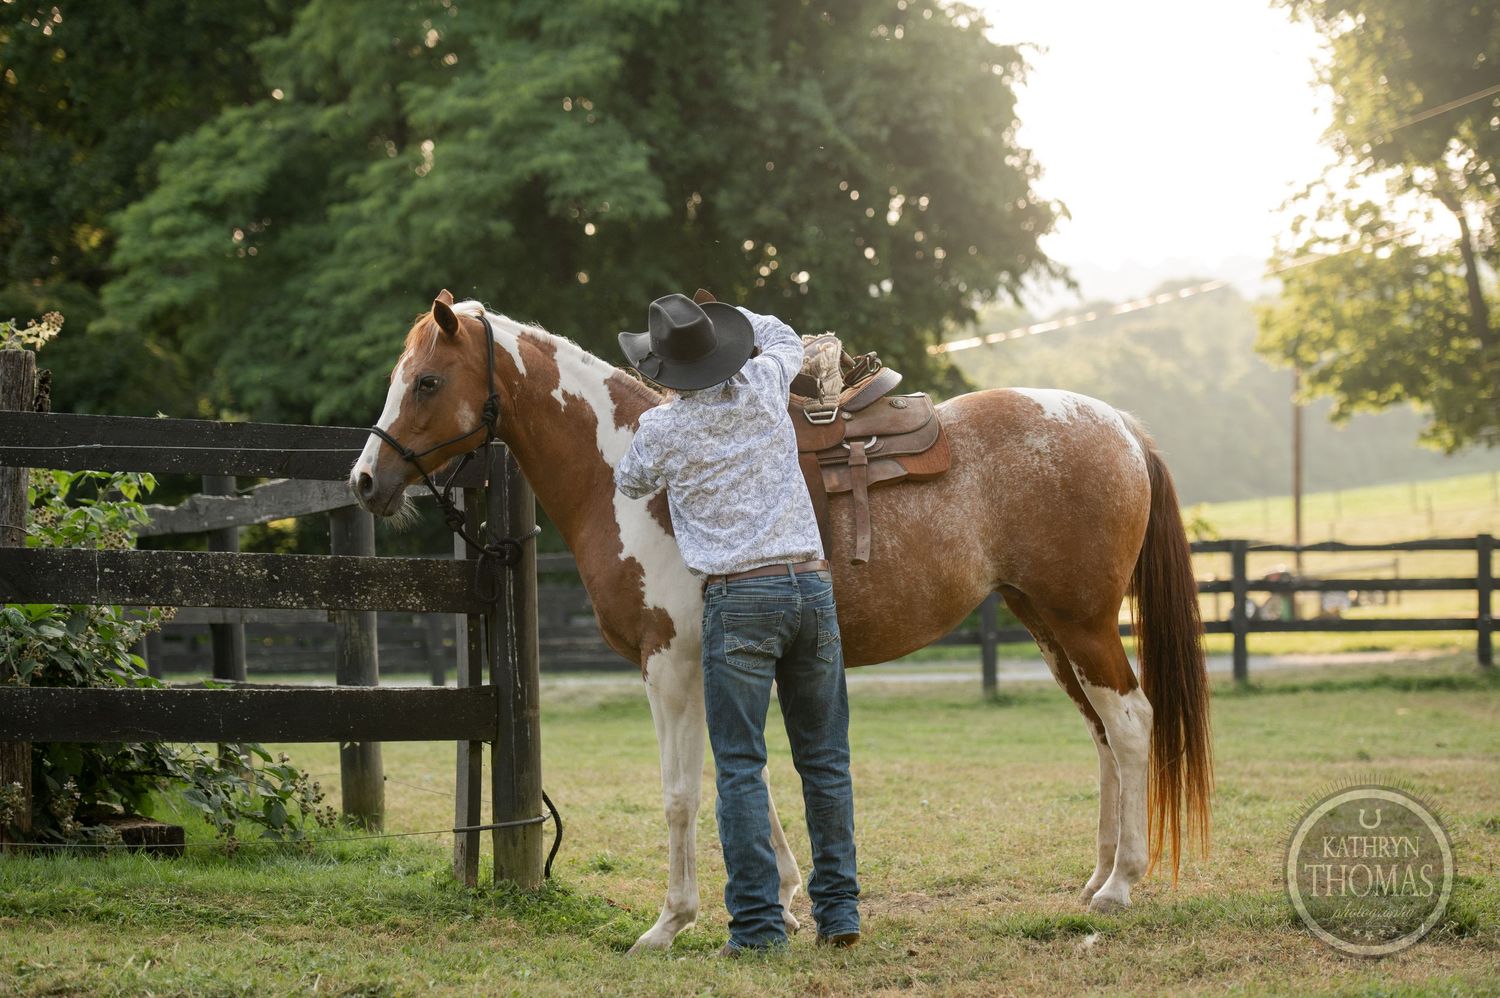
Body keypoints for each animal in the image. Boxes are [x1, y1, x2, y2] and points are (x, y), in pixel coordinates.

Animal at [349, 291, 1212, 952]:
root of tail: (1120, 424)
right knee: (1103, 734)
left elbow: (683, 793)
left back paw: (1121, 885)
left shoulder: (671, 666)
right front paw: (789, 900)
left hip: (1084, 624)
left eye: (427, 381)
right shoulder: (720, 664)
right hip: (1050, 626)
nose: (365, 481)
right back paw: (1097, 876)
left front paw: (671, 923)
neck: (628, 476)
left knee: (1131, 722)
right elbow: (750, 783)